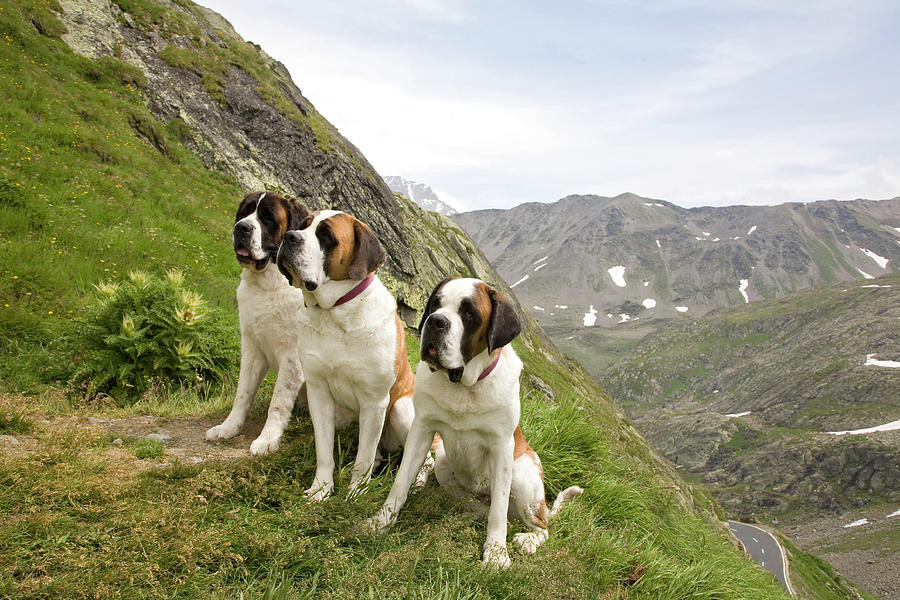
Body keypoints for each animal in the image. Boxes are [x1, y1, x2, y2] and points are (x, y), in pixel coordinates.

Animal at [206, 191, 312, 454]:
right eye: (244, 212)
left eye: (267, 219)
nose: (241, 228)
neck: (267, 286)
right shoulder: (252, 349)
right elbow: (242, 394)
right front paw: (228, 428)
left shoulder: (292, 357)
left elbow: (278, 401)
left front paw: (267, 439)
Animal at [276, 211, 428, 502]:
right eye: (304, 225)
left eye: (326, 235)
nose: (289, 236)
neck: (335, 314)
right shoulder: (319, 393)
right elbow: (324, 450)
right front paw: (320, 490)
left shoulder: (374, 402)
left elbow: (363, 457)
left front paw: (356, 492)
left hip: (402, 409)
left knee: (426, 454)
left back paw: (417, 482)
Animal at [366, 276, 584, 568]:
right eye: (435, 304)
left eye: (469, 313)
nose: (435, 321)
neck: (463, 387)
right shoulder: (421, 430)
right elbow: (400, 483)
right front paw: (379, 523)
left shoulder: (502, 449)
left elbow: (498, 512)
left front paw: (496, 554)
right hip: (444, 464)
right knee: (481, 508)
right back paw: (461, 516)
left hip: (524, 475)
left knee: (540, 525)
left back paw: (528, 539)